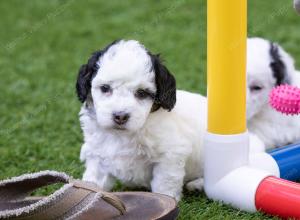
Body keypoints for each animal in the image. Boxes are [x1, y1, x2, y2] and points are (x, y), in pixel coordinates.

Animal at [77, 39, 209, 201]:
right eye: (105, 88)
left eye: (141, 93)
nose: (120, 116)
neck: (122, 135)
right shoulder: (97, 155)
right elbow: (93, 182)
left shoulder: (169, 157)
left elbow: (164, 185)